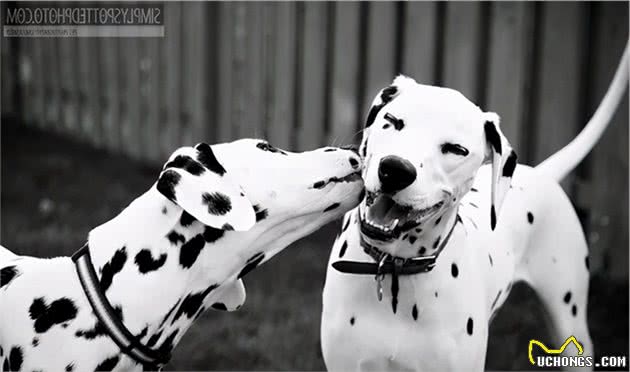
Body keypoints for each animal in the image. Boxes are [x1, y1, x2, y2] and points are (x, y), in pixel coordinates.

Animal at [324, 48, 628, 370]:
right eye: (393, 121)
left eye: (456, 149)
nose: (395, 170)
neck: (395, 270)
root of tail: (542, 173)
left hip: (570, 324)